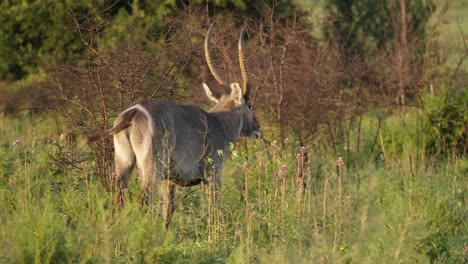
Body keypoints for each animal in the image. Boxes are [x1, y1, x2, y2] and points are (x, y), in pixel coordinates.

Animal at [89, 23, 262, 228]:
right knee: (143, 201)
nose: (258, 129)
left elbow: (168, 210)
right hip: (151, 169)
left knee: (118, 200)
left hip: (123, 164)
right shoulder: (213, 174)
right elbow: (214, 208)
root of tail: (134, 112)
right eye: (250, 105)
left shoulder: (169, 179)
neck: (219, 122)